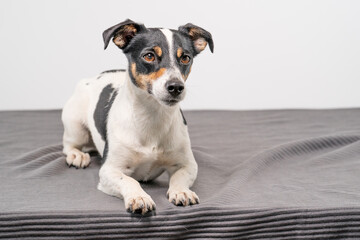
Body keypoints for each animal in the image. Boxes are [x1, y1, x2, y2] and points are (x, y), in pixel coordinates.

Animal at [62, 18, 214, 214]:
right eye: (149, 56)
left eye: (185, 58)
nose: (176, 87)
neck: (152, 117)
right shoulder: (109, 170)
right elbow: (129, 180)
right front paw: (139, 197)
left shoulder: (187, 164)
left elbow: (179, 177)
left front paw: (182, 191)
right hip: (75, 125)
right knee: (69, 145)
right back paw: (77, 156)